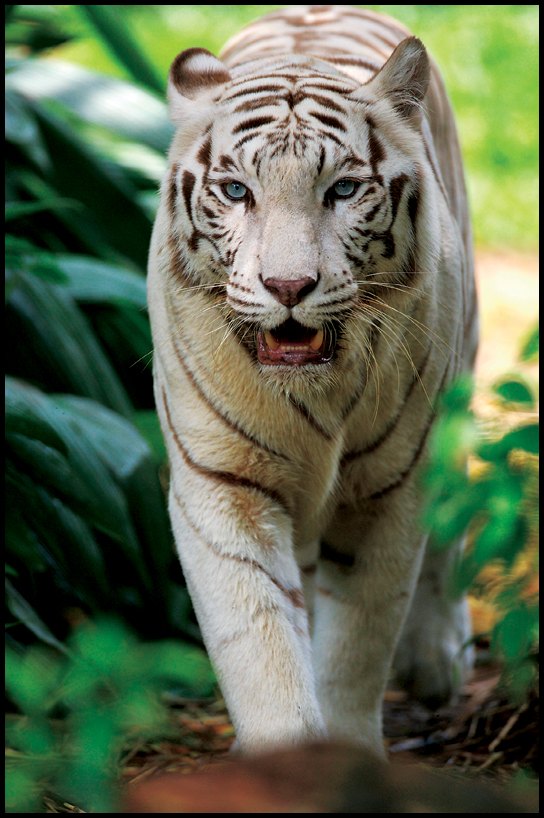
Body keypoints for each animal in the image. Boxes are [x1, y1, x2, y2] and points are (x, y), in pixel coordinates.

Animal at [148, 4, 476, 760]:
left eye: (343, 190)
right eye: (237, 190)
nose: (289, 287)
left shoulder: (389, 490)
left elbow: (357, 648)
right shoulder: (223, 485)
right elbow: (261, 647)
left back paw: (436, 661)